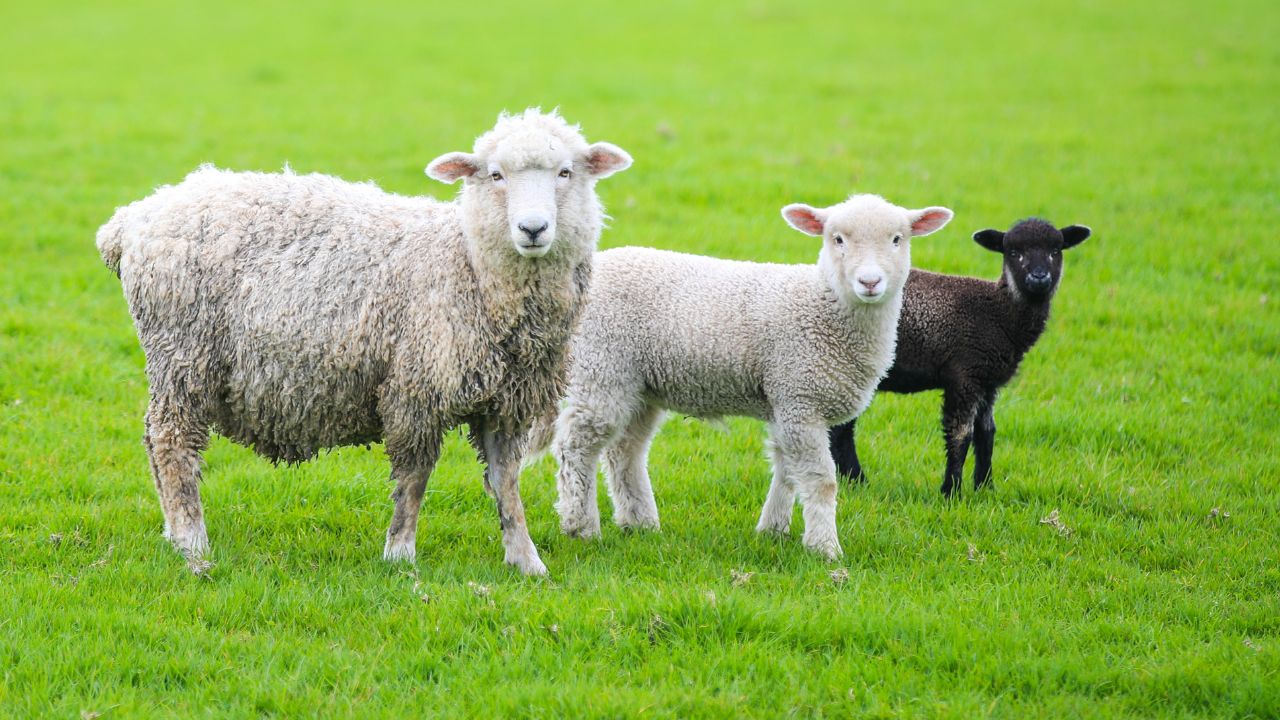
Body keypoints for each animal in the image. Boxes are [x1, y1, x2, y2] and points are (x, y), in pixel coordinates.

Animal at [95, 109, 633, 575]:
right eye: (495, 175)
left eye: (566, 172)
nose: (533, 228)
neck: (469, 267)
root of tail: (132, 219)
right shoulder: (415, 387)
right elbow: (415, 478)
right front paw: (400, 553)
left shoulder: (504, 402)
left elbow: (507, 483)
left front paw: (526, 560)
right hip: (183, 353)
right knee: (171, 443)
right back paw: (192, 543)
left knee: (152, 439)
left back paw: (172, 534)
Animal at [537, 195, 953, 559]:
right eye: (837, 239)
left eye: (898, 239)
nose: (870, 282)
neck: (823, 304)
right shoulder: (800, 396)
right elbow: (820, 480)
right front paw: (825, 549)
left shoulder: (787, 400)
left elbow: (786, 471)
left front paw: (773, 530)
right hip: (601, 368)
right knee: (576, 445)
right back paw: (581, 526)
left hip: (640, 385)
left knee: (626, 451)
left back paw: (640, 524)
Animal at [827, 218, 1092, 497]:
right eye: (1013, 252)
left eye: (1056, 251)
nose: (1039, 277)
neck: (1000, 313)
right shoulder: (965, 376)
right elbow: (960, 434)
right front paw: (951, 491)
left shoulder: (987, 381)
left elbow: (986, 432)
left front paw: (985, 488)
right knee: (841, 429)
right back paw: (856, 480)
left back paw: (854, 481)